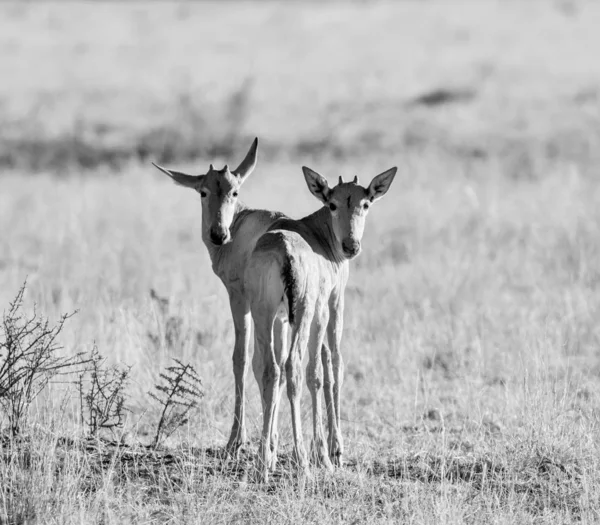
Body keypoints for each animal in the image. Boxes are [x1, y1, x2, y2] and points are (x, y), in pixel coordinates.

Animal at [246, 165, 396, 478]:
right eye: (333, 204)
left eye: (365, 203)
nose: (351, 246)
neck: (315, 233)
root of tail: (282, 249)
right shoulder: (329, 305)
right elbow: (328, 366)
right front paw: (330, 452)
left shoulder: (280, 319)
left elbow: (278, 372)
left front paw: (273, 452)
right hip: (303, 312)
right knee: (294, 366)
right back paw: (303, 459)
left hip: (262, 312)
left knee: (269, 368)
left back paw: (263, 462)